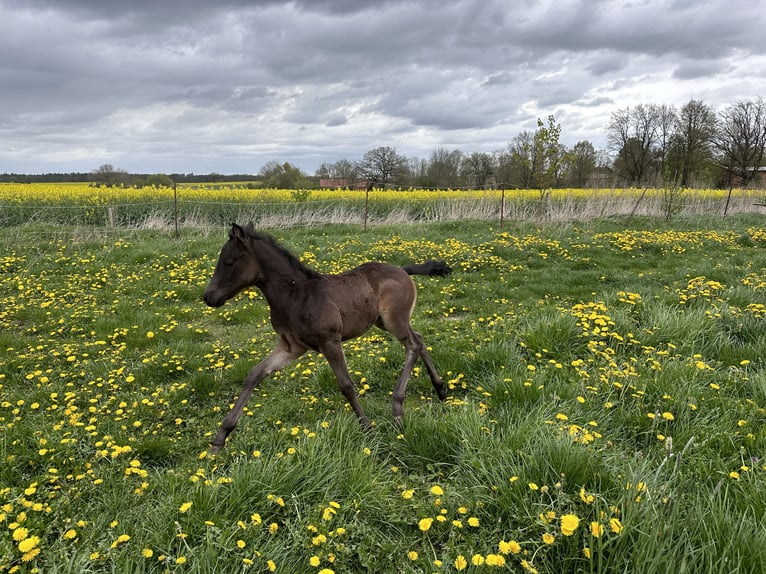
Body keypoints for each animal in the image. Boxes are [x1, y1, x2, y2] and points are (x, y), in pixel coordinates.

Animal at [203, 223, 451, 453]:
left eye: (228, 263)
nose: (208, 297)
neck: (297, 295)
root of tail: (401, 269)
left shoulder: (330, 341)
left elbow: (346, 385)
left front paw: (368, 429)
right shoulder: (291, 346)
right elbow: (254, 375)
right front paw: (220, 438)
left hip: (393, 320)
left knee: (413, 345)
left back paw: (398, 408)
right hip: (385, 322)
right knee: (419, 339)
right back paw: (440, 390)